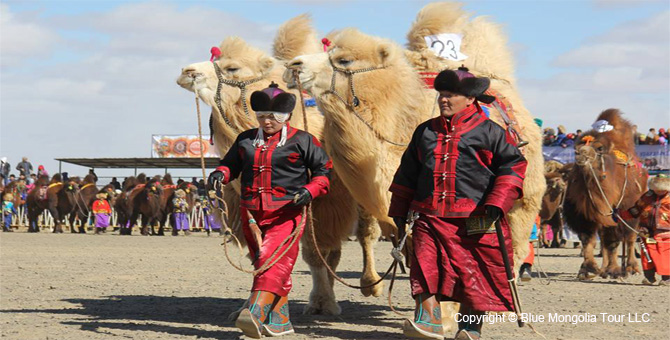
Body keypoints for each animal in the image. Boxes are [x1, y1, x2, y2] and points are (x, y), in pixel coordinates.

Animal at [176, 14, 388, 314]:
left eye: (232, 67)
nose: (187, 71)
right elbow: (269, 252)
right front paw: (250, 305)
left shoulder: (320, 201)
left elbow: (315, 251)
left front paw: (324, 302)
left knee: (365, 234)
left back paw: (370, 284)